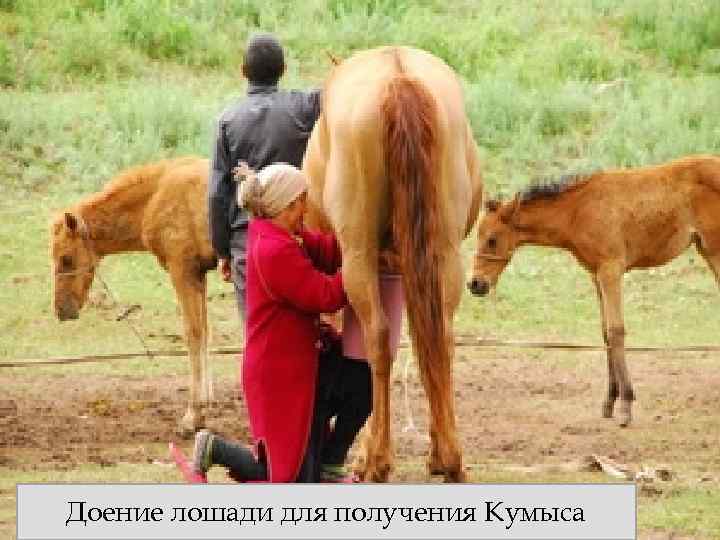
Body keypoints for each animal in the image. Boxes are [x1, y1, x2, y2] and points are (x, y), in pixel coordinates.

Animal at [49, 156, 215, 436]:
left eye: (66, 258)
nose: (62, 310)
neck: (155, 196)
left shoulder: (183, 270)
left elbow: (193, 334)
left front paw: (193, 415)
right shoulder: (199, 274)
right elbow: (203, 333)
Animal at [303, 46, 484, 482]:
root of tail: (399, 78)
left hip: (358, 258)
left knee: (378, 341)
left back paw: (377, 460)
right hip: (443, 254)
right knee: (440, 340)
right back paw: (448, 457)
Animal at [468, 155, 720, 427]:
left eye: (492, 240)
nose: (475, 284)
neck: (577, 211)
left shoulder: (611, 270)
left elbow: (616, 331)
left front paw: (626, 406)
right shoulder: (596, 275)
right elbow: (605, 333)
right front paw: (609, 401)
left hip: (714, 251)